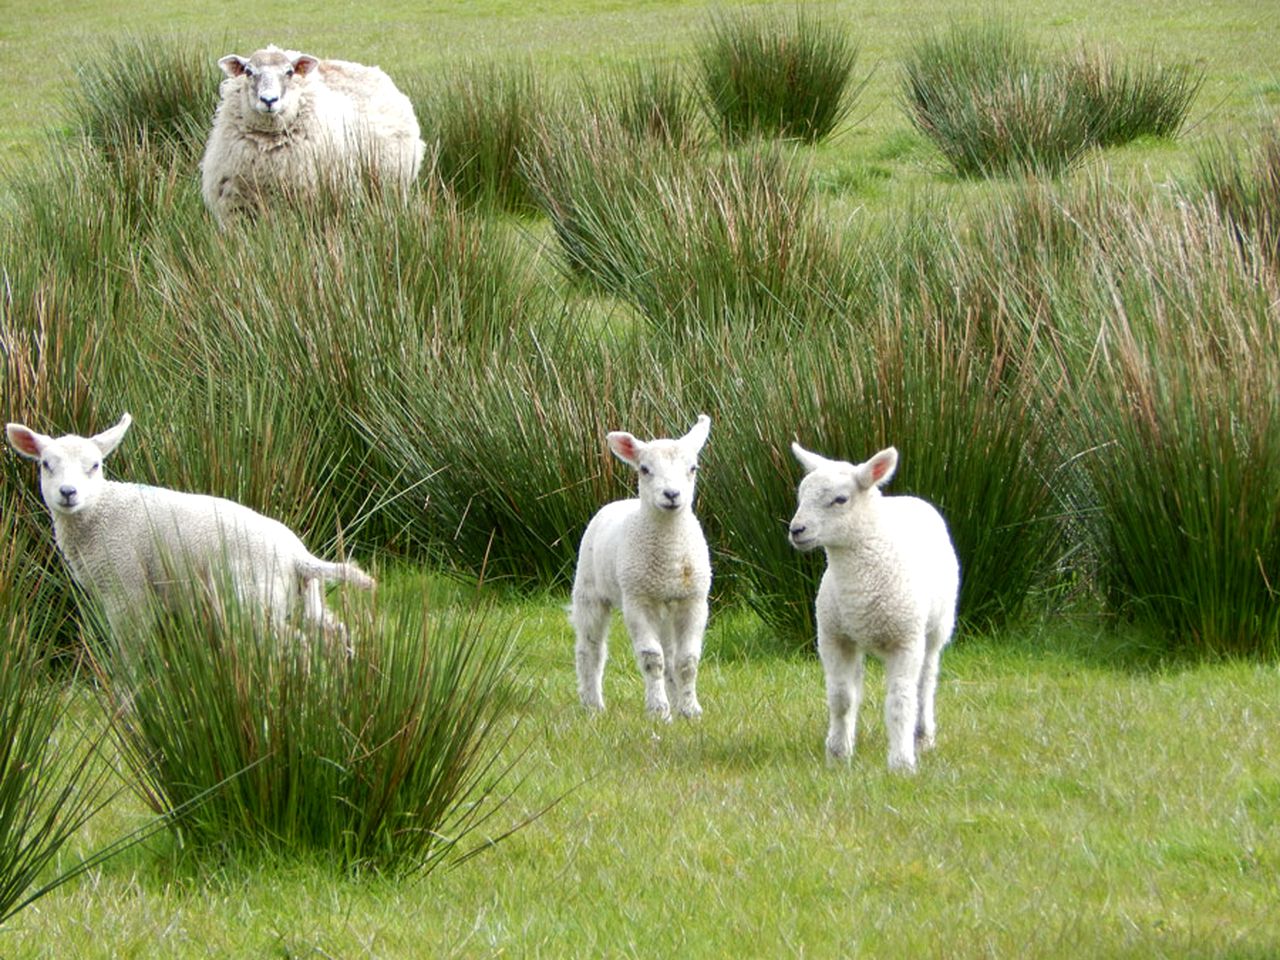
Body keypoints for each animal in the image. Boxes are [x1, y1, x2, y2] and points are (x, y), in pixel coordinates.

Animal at [5, 414, 373, 640]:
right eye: (46, 464)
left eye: (94, 466)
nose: (68, 493)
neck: (100, 512)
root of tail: (298, 556)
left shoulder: (126, 589)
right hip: (305, 600)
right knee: (335, 634)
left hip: (253, 603)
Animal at [199, 44, 427, 225]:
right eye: (248, 71)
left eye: (289, 72)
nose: (269, 100)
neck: (268, 145)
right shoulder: (236, 209)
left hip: (394, 189)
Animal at [576, 414, 716, 721]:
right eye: (644, 469)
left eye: (693, 468)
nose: (672, 494)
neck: (670, 555)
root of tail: (620, 501)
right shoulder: (637, 600)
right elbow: (653, 659)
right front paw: (659, 711)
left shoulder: (694, 600)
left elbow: (687, 661)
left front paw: (690, 711)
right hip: (588, 588)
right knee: (590, 649)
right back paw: (592, 705)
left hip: (665, 606)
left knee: (672, 654)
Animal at [788, 442, 962, 773]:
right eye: (800, 496)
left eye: (840, 499)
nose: (796, 530)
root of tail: (908, 497)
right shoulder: (833, 638)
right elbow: (841, 697)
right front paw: (838, 753)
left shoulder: (906, 641)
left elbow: (900, 700)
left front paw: (902, 762)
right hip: (854, 637)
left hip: (936, 627)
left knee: (926, 681)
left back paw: (923, 735)